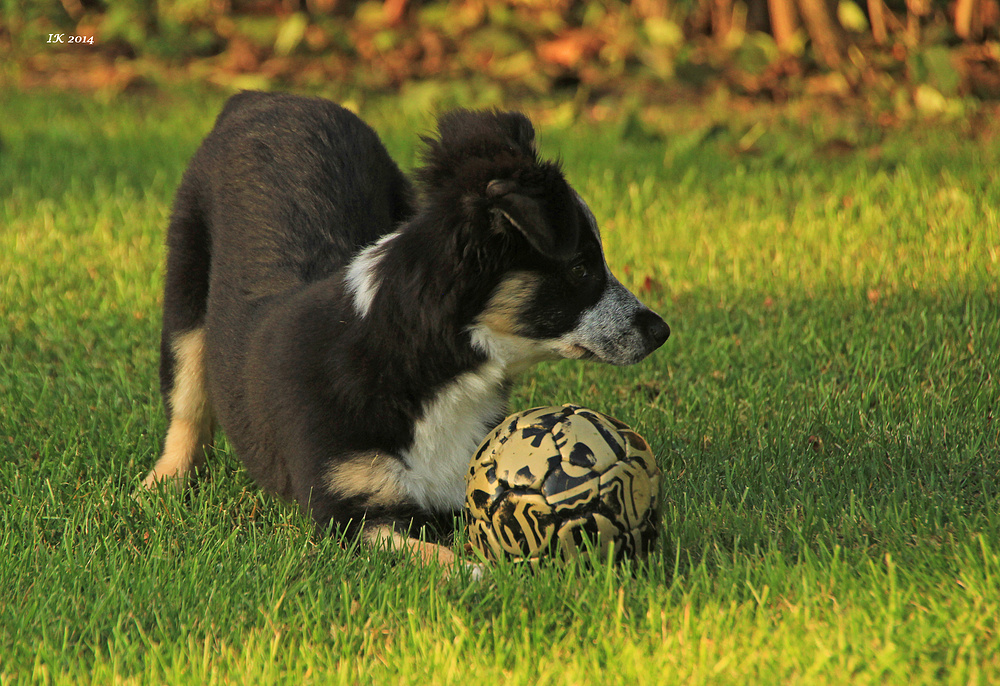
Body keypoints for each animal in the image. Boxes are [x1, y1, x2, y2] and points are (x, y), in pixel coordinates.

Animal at [143, 92, 672, 568]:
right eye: (581, 269)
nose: (662, 331)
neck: (430, 372)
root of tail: (260, 97)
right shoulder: (349, 511)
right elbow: (445, 558)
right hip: (185, 294)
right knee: (187, 402)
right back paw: (161, 484)